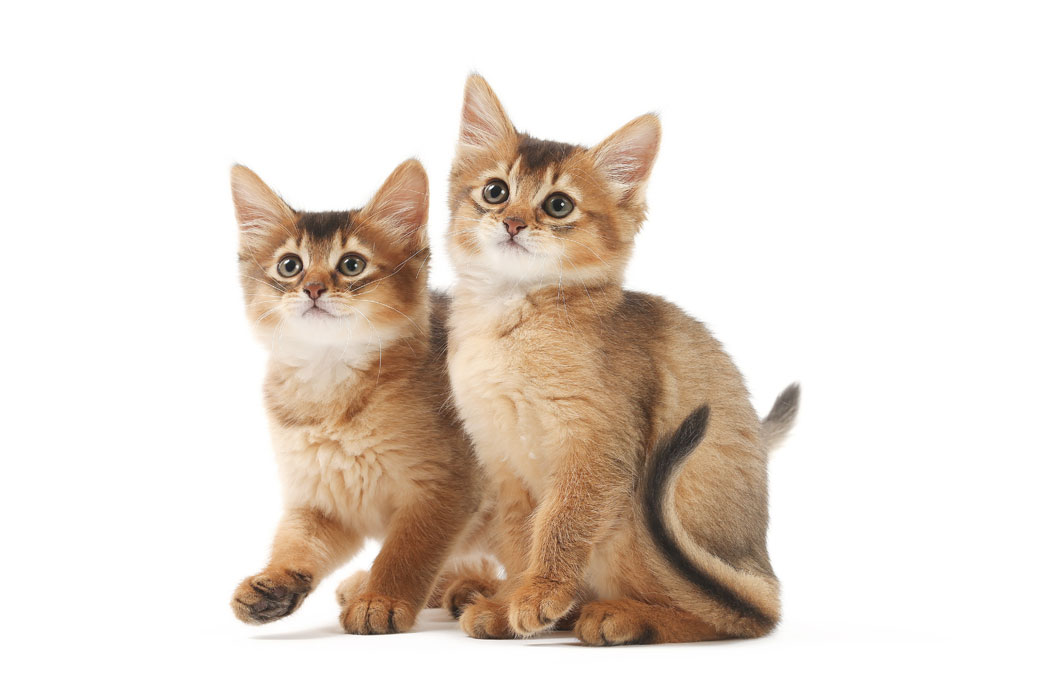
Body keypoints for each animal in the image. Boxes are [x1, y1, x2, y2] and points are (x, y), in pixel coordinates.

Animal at [229, 159, 498, 634]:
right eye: (290, 266)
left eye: (351, 265)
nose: (313, 289)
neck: (331, 392)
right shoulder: (322, 501)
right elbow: (297, 542)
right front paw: (275, 580)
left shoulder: (444, 489)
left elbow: (406, 552)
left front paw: (381, 599)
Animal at [443, 74, 799, 644]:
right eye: (495, 191)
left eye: (559, 205)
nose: (514, 223)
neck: (509, 320)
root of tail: (759, 569)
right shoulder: (502, 461)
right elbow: (521, 538)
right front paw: (509, 601)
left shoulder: (597, 447)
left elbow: (561, 523)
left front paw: (540, 594)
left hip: (640, 517)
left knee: (731, 617)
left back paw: (623, 616)